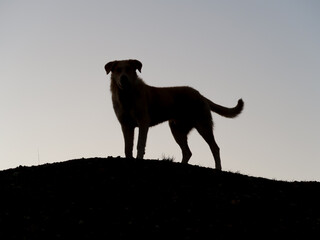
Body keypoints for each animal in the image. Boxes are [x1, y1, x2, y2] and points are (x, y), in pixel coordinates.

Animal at [104, 59, 242, 170]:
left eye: (129, 69)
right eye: (118, 70)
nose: (123, 78)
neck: (127, 96)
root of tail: (200, 94)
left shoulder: (143, 123)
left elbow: (140, 144)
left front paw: (138, 159)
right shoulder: (126, 125)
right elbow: (127, 146)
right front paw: (129, 159)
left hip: (203, 126)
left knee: (214, 147)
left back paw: (218, 168)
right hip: (177, 130)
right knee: (187, 152)